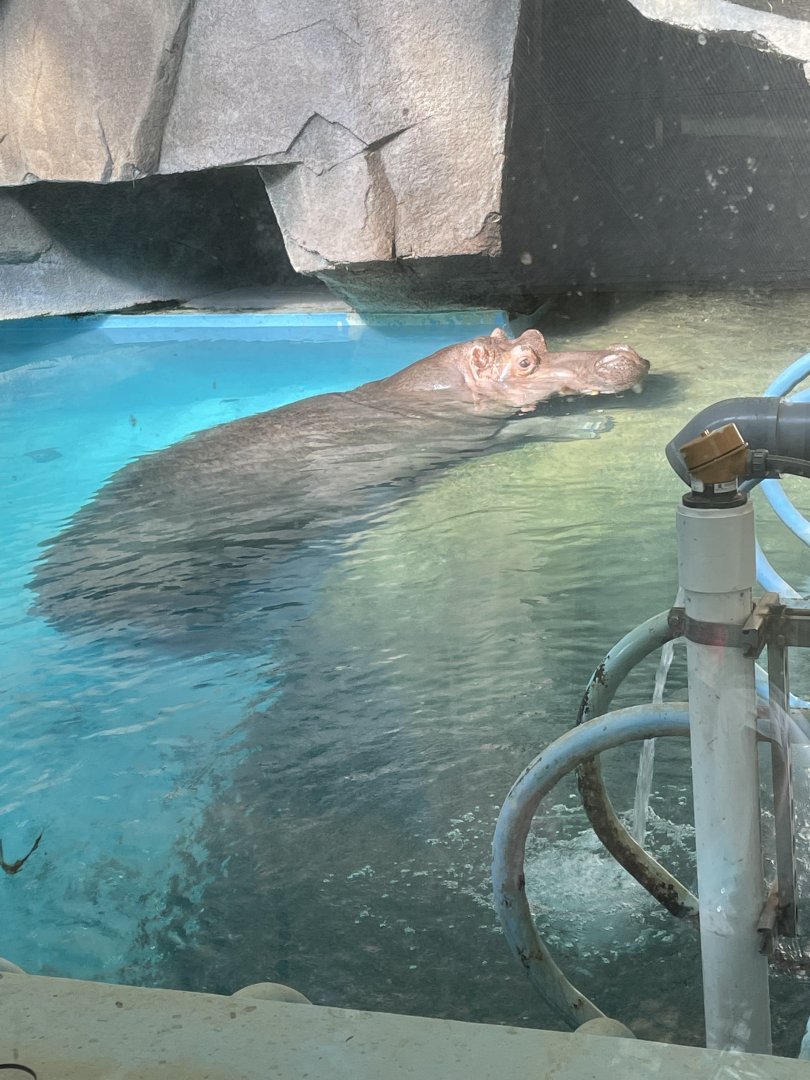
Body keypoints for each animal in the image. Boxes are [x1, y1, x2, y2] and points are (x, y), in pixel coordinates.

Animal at [31, 328, 648, 648]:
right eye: (524, 361)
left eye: (537, 334)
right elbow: (526, 427)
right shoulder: (463, 438)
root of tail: (44, 597)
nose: (625, 354)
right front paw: (591, 426)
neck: (420, 391)